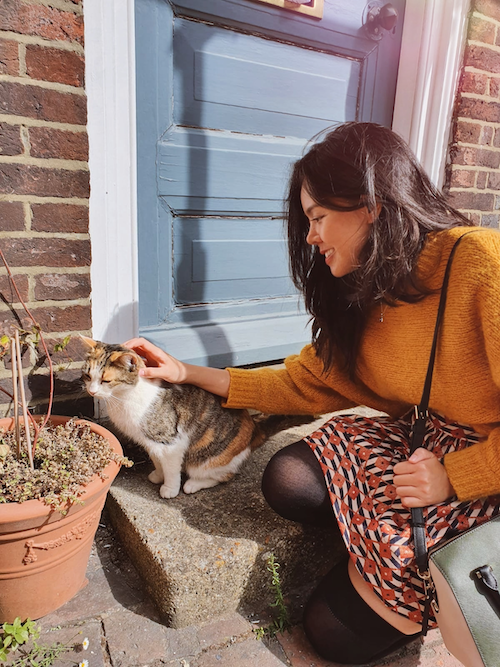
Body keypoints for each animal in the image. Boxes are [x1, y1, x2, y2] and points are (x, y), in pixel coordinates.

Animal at [81, 340, 312, 500]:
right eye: (87, 376)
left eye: (105, 380)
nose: (92, 392)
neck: (123, 399)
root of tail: (255, 428)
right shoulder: (151, 442)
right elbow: (157, 460)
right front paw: (157, 475)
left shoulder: (172, 443)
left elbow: (172, 469)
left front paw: (169, 488)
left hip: (206, 460)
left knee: (222, 475)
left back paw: (193, 484)